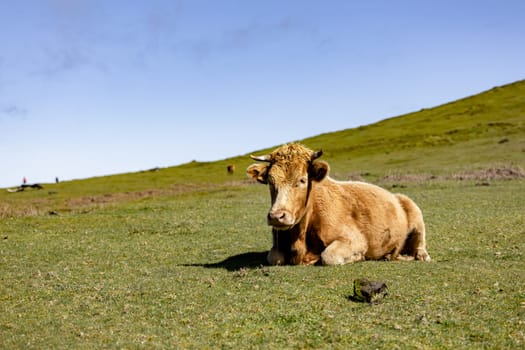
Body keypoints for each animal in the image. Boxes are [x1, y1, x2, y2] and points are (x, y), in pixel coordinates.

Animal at [246, 142, 430, 266]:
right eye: (270, 182)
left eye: (302, 180)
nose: (277, 216)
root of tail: (395, 196)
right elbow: (274, 257)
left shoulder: (355, 239)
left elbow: (329, 256)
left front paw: (357, 257)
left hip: (416, 215)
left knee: (420, 245)